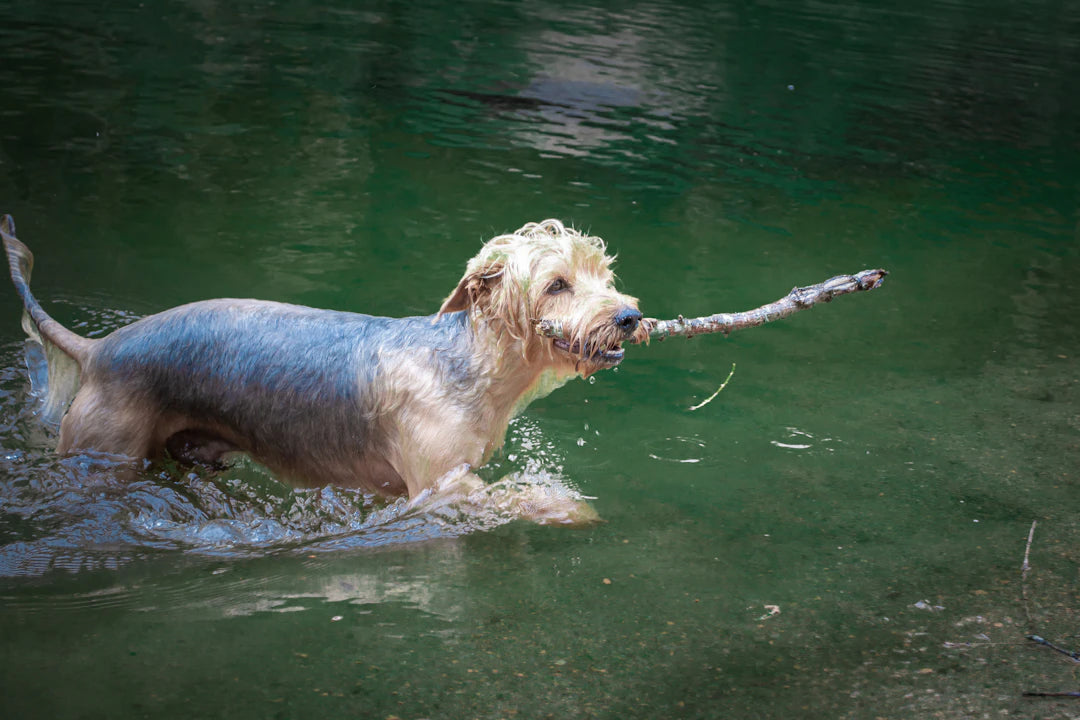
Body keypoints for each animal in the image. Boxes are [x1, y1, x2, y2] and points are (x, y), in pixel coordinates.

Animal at [0, 213, 643, 518]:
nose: (630, 315)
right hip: (106, 453)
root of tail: (99, 349)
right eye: (556, 284)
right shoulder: (439, 488)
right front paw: (570, 509)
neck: (474, 368)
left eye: (604, 275)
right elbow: (513, 497)